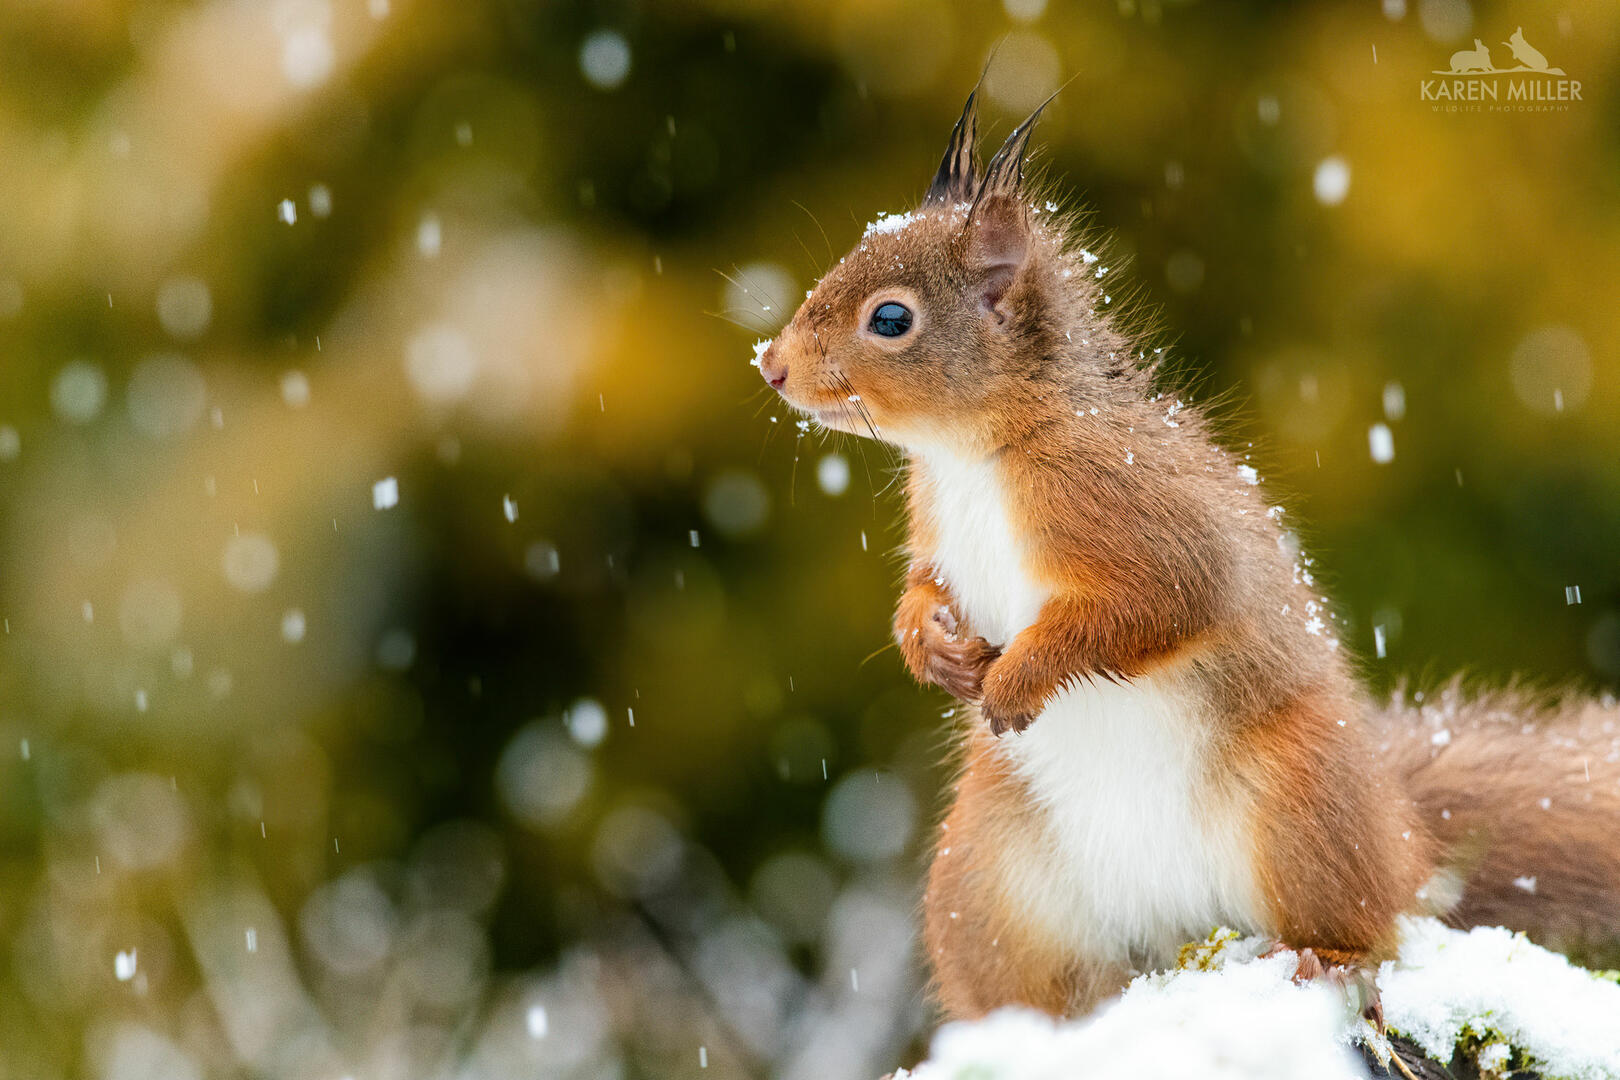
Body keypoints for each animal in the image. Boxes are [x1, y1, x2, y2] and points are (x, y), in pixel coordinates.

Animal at [754, 86, 1620, 1023]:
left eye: (890, 319)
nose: (770, 366)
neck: (977, 454)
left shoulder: (1144, 519)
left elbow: (1154, 605)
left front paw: (1018, 678)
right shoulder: (936, 528)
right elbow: (923, 588)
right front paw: (934, 649)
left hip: (1301, 803)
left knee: (1376, 926)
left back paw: (1327, 955)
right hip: (983, 880)